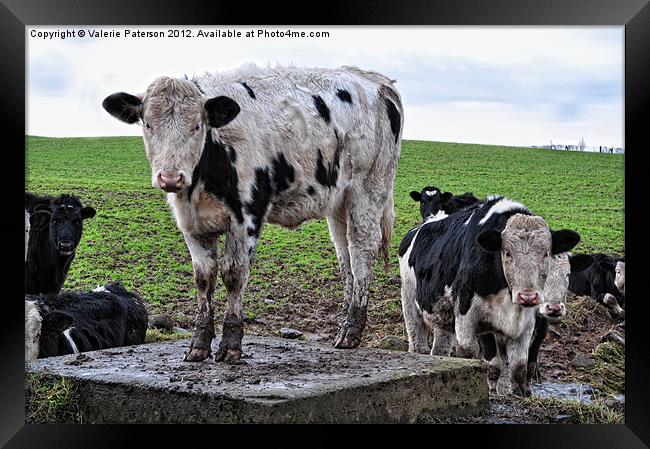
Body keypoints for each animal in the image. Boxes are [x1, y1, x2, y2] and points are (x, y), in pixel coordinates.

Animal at [101, 65, 400, 362]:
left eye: (197, 126)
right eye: (148, 125)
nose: (171, 178)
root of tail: (378, 81)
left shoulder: (246, 217)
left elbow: (233, 274)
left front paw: (231, 344)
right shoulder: (192, 224)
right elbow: (203, 278)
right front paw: (199, 344)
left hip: (368, 191)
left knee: (362, 252)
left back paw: (352, 331)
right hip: (338, 203)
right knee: (345, 255)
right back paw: (344, 325)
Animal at [398, 196, 580, 396]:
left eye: (546, 253)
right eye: (507, 253)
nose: (528, 297)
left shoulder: (527, 323)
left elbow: (519, 366)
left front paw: (521, 393)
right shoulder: (471, 316)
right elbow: (482, 359)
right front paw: (489, 389)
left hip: (442, 317)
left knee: (440, 348)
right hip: (409, 302)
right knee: (417, 341)